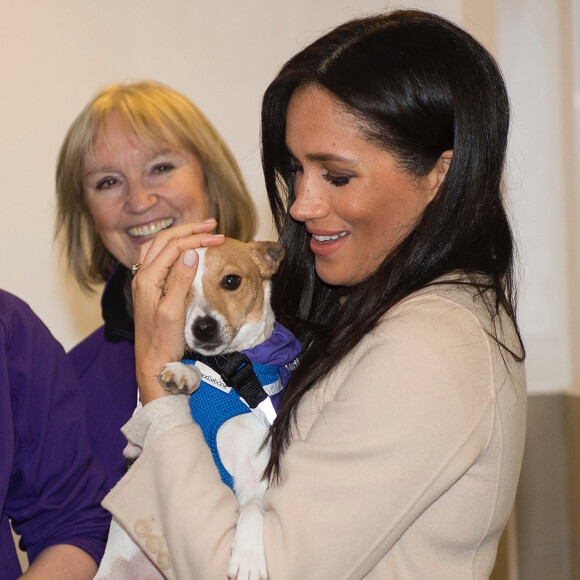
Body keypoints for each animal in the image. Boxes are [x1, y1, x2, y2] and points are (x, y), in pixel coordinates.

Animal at [97, 239, 294, 580]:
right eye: (174, 288)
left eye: (231, 281)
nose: (203, 327)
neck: (225, 373)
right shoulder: (135, 440)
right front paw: (184, 373)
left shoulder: (253, 477)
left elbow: (253, 509)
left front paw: (249, 556)